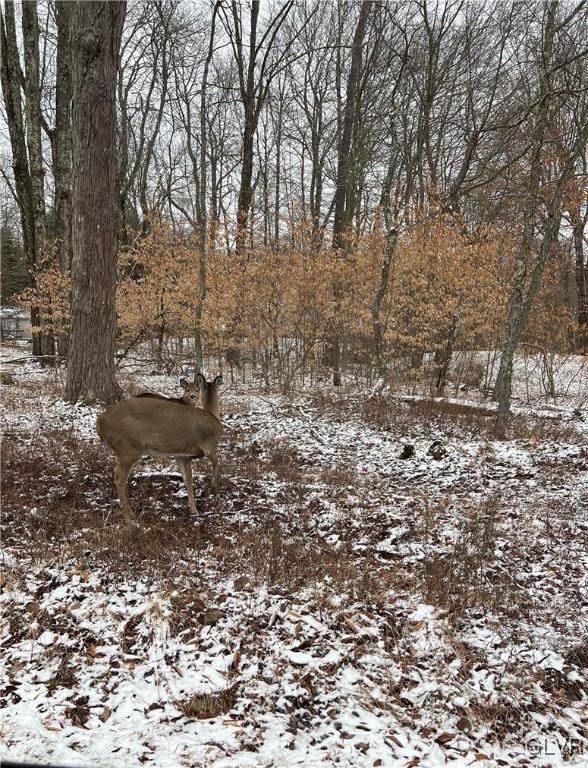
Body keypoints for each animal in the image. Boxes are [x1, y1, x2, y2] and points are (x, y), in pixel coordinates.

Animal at [97, 374, 222, 520]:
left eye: (198, 390)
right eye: (190, 390)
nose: (193, 396)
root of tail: (99, 422)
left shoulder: (183, 456)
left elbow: (188, 480)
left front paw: (194, 510)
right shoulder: (209, 446)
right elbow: (216, 464)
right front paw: (213, 486)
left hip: (123, 451)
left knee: (115, 472)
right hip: (129, 448)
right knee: (119, 478)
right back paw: (129, 515)